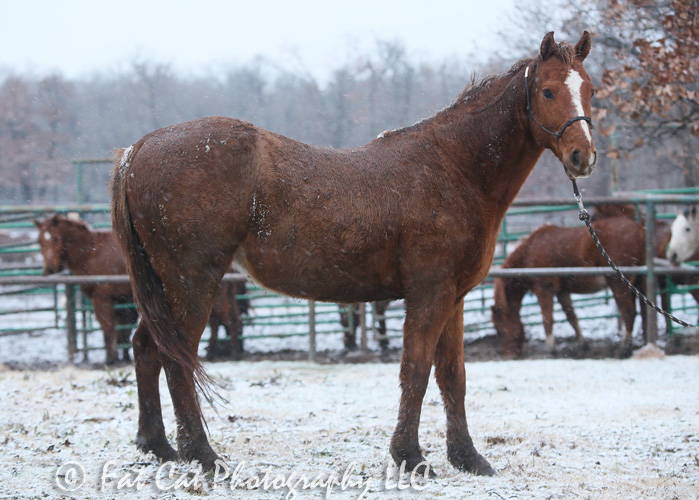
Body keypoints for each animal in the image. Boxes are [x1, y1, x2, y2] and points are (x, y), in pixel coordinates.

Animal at [33, 215, 137, 364]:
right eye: (39, 241)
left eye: (56, 238)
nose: (50, 269)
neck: (91, 252)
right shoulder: (124, 299)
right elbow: (124, 331)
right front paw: (125, 357)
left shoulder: (102, 297)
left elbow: (109, 327)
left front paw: (110, 359)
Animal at [109, 32, 596, 476]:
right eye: (548, 91)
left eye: (589, 88)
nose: (582, 156)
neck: (453, 168)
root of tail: (138, 149)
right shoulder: (429, 294)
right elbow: (416, 371)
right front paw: (411, 457)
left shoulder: (453, 298)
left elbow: (452, 376)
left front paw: (468, 458)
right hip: (192, 282)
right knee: (176, 359)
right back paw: (202, 456)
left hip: (165, 286)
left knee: (146, 348)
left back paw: (158, 447)